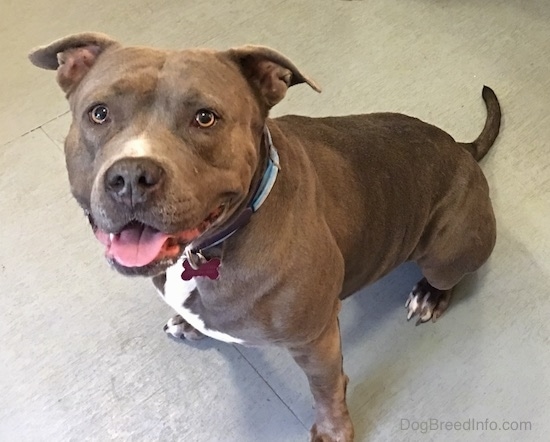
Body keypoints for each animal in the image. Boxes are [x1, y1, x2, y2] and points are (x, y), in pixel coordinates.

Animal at [30, 32, 502, 440]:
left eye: (205, 117)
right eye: (99, 113)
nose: (130, 176)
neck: (211, 248)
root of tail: (462, 148)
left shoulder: (316, 339)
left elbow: (326, 389)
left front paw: (333, 430)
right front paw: (189, 322)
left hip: (447, 250)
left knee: (448, 275)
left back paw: (430, 296)